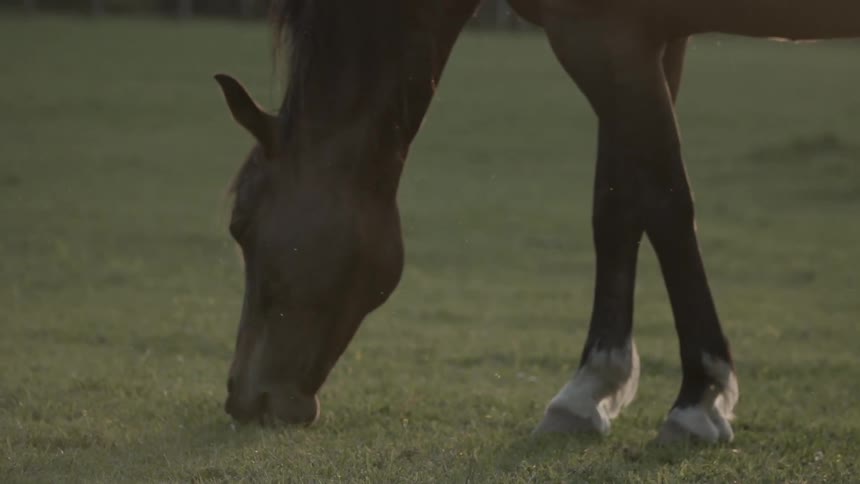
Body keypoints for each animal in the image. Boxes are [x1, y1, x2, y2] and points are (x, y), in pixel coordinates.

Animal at [214, 0, 860, 442]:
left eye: (240, 225)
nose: (243, 398)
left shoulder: (600, 35)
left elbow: (668, 205)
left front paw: (701, 396)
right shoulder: (646, 37)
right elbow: (619, 203)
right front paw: (592, 386)